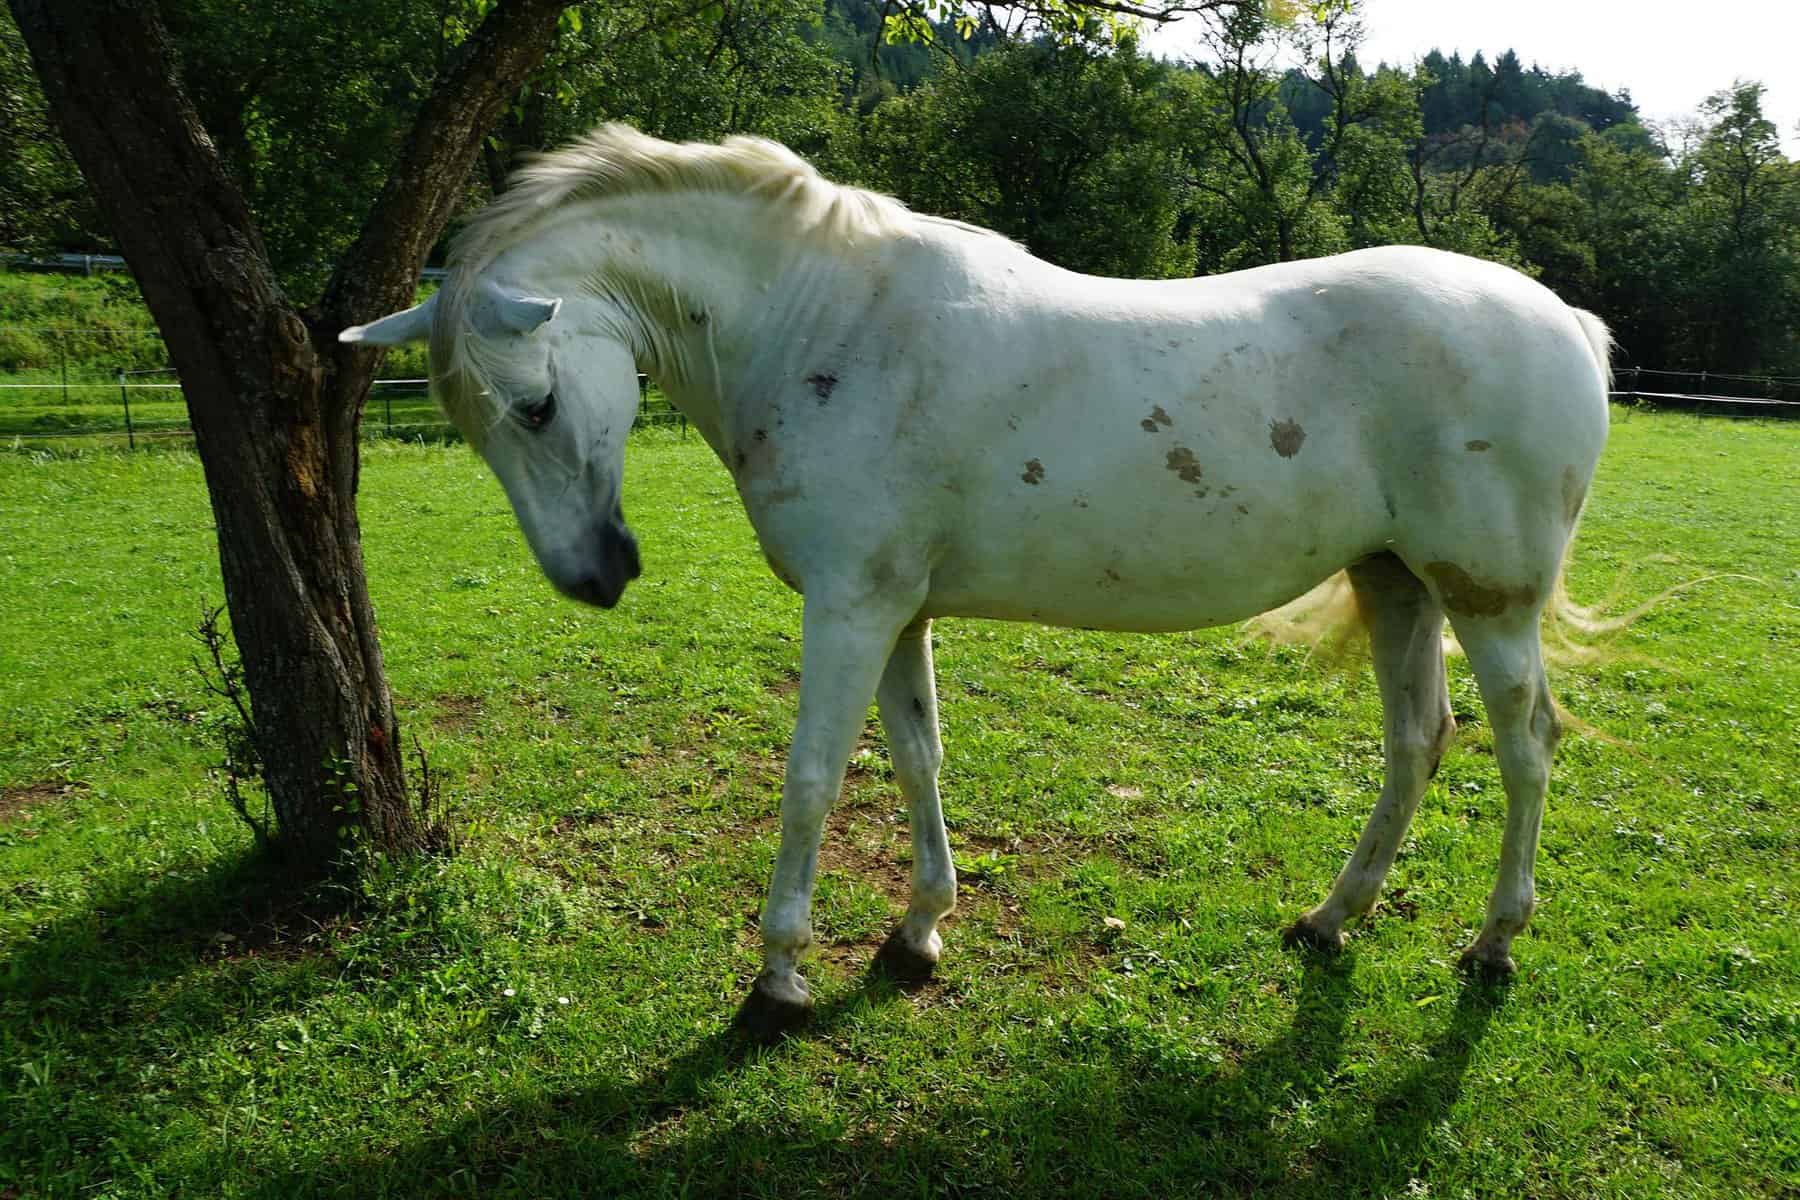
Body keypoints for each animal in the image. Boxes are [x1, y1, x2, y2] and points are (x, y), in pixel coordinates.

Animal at [343, 126, 1612, 1036]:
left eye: (537, 404)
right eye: (480, 425)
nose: (594, 576)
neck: (824, 326)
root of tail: (1568, 320)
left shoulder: (849, 608)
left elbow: (810, 781)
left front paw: (779, 978)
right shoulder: (897, 611)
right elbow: (916, 759)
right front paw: (917, 934)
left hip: (1488, 600)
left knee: (1525, 745)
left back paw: (1495, 940)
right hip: (1396, 581)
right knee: (1417, 743)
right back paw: (1331, 919)